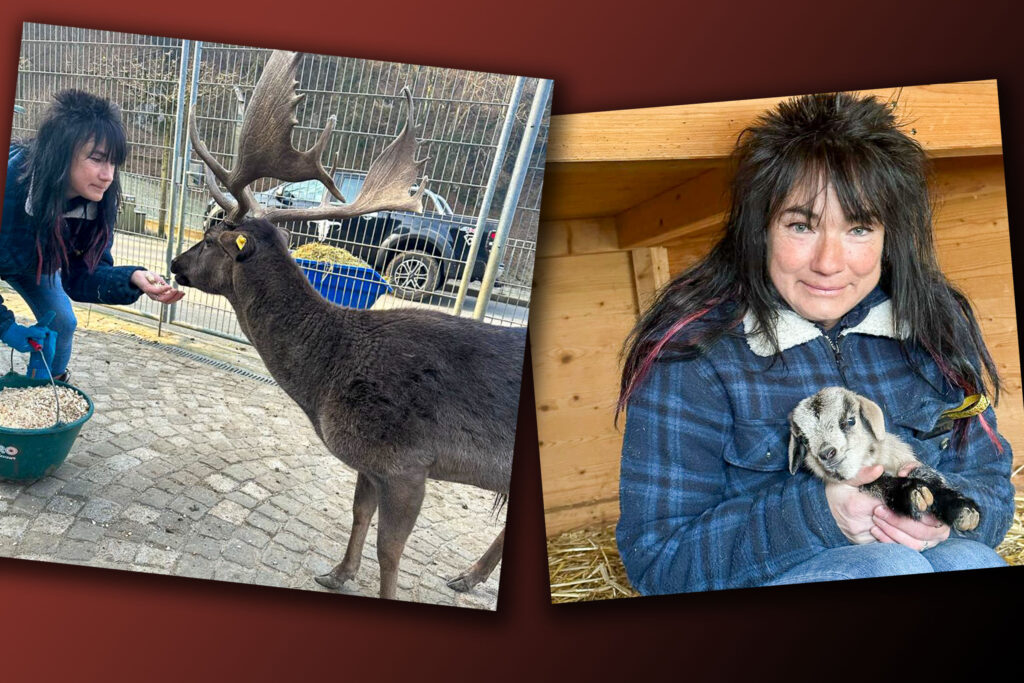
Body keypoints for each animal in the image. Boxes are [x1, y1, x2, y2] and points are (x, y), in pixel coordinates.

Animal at [786, 387, 978, 532]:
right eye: (804, 440)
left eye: (850, 421)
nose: (826, 453)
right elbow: (880, 483)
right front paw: (912, 493)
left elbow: (927, 474)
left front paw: (961, 509)